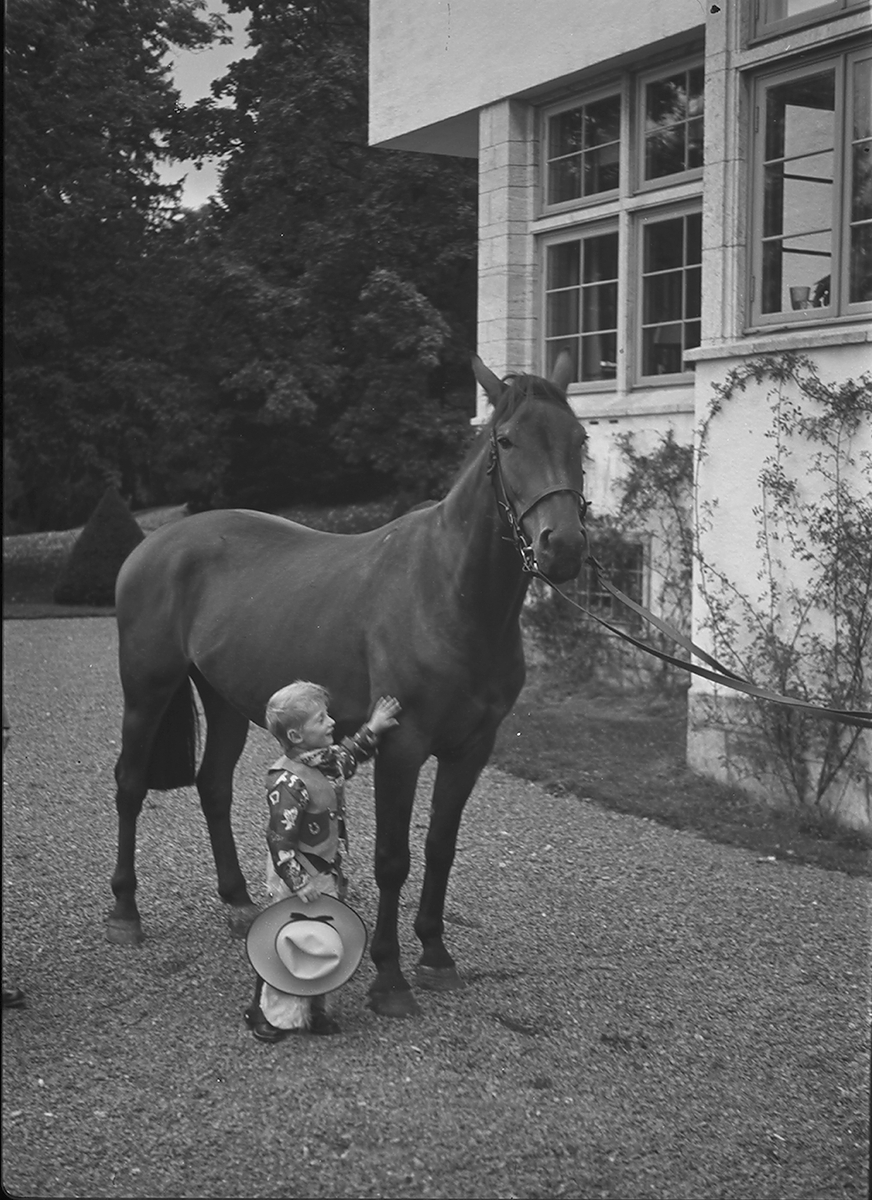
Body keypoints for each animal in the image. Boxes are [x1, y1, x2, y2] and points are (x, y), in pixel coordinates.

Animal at [109, 350, 587, 1017]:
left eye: (580, 439)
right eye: (509, 441)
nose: (562, 545)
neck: (451, 592)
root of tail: (154, 544)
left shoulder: (471, 749)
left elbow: (439, 848)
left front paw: (435, 955)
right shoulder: (402, 746)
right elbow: (393, 859)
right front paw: (389, 976)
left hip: (224, 699)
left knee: (213, 786)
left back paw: (238, 904)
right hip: (147, 688)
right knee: (130, 784)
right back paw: (125, 912)